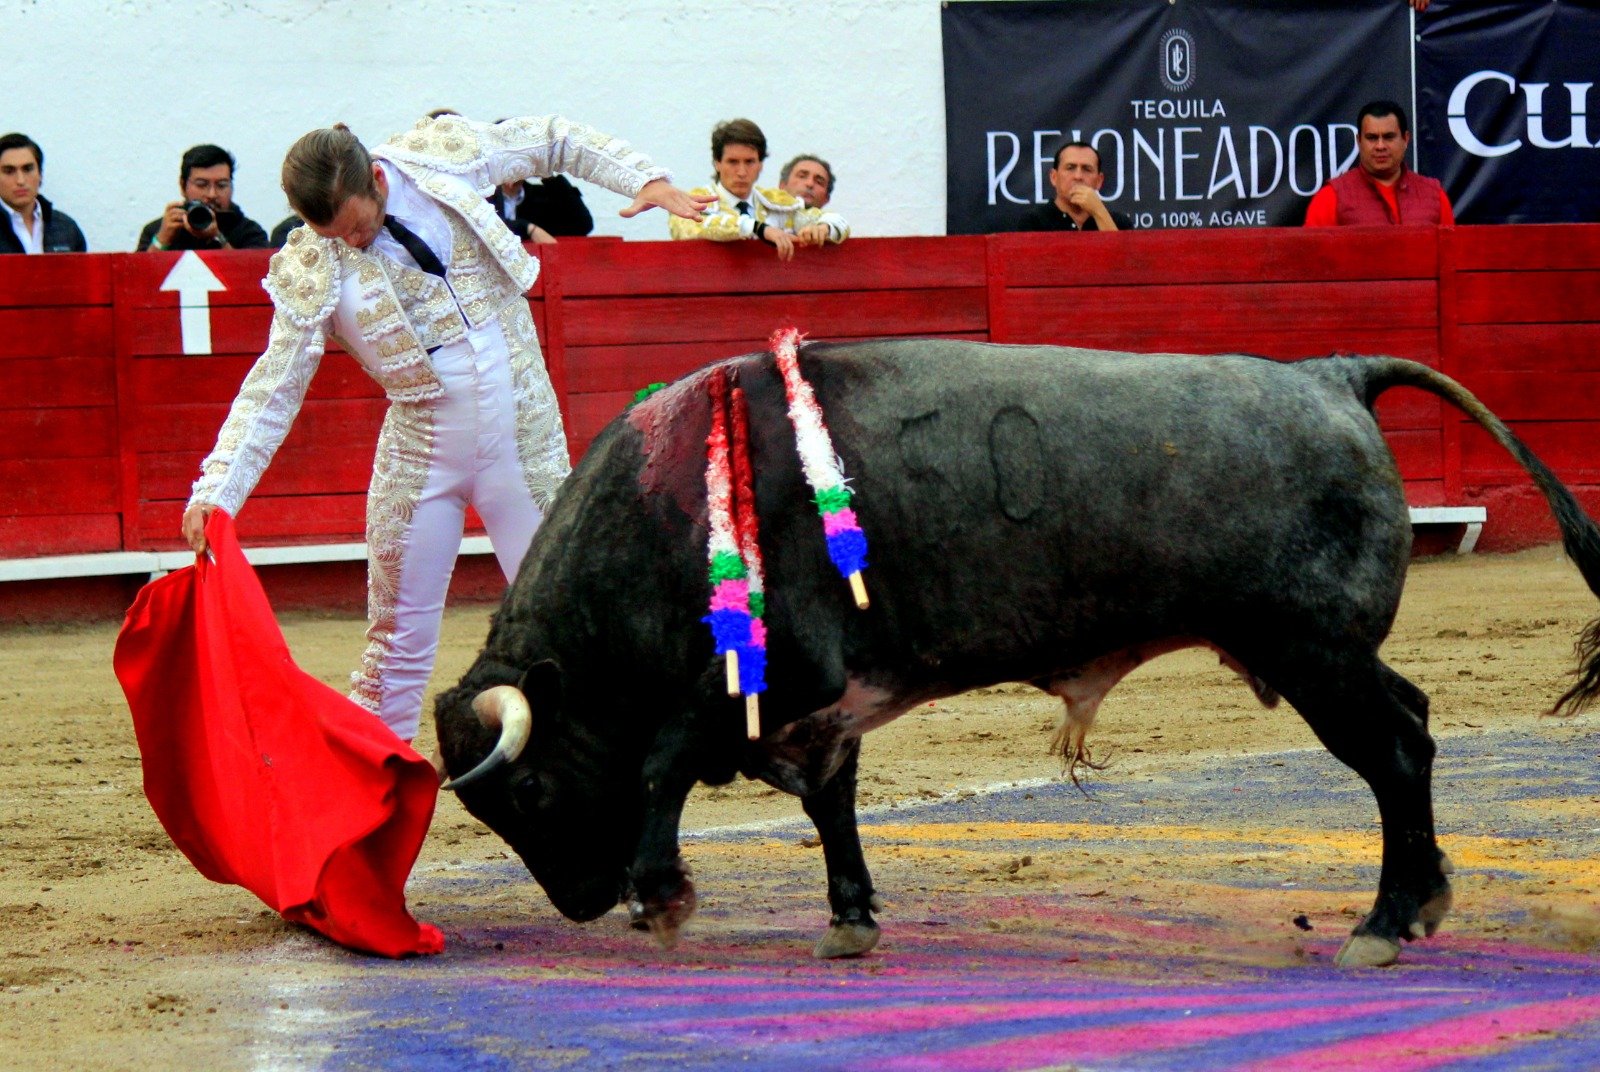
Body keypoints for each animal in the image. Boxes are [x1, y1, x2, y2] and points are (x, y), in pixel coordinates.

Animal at [433, 338, 1600, 969]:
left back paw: (1383, 922)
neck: (669, 512)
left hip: (1316, 653)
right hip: (1330, 654)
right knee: (1415, 730)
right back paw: (1428, 897)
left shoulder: (777, 681)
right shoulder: (824, 708)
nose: (580, 900)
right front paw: (849, 921)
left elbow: (661, 762)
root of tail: (1332, 374)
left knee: (1395, 752)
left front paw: (661, 893)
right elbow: (829, 804)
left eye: (528, 791)